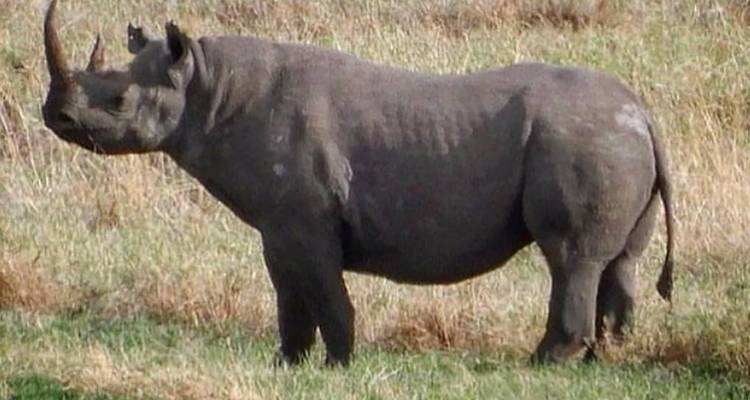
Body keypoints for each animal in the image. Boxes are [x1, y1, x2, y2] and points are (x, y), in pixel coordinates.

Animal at [41, 0, 675, 366]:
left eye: (118, 101)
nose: (56, 117)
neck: (208, 86)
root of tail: (643, 113)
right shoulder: (279, 223)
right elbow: (288, 292)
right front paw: (287, 364)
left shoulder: (309, 217)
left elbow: (325, 292)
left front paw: (338, 366)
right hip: (609, 138)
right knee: (617, 261)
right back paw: (600, 360)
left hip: (581, 140)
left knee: (570, 257)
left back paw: (539, 364)